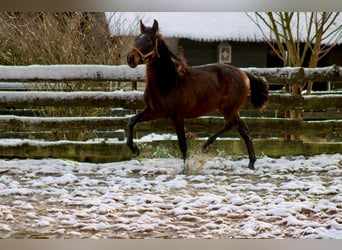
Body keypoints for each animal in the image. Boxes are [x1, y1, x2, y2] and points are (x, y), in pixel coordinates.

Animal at [125, 20, 268, 172]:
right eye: (136, 38)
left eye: (149, 40)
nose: (130, 58)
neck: (170, 81)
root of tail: (243, 73)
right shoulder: (153, 112)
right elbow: (132, 121)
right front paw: (134, 149)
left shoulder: (177, 116)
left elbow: (182, 143)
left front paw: (185, 168)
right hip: (231, 109)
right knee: (243, 129)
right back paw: (250, 162)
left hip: (228, 108)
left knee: (233, 125)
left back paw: (207, 146)